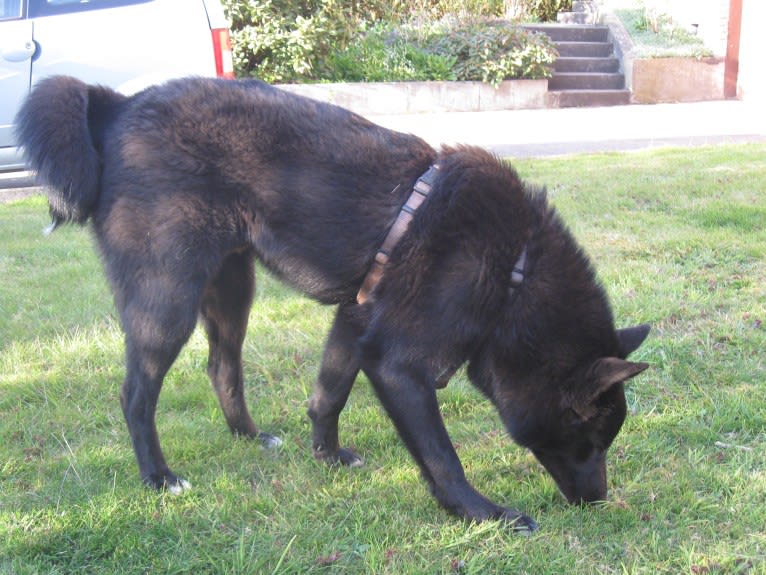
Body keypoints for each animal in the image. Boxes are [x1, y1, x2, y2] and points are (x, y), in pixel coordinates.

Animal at [18, 75, 648, 532]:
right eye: (590, 436)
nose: (598, 501)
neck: (515, 266)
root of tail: (116, 105)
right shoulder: (398, 367)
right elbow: (443, 458)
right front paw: (483, 515)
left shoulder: (356, 323)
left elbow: (328, 394)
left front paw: (326, 456)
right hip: (166, 300)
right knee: (135, 395)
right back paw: (158, 477)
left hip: (231, 289)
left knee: (221, 366)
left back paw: (250, 436)